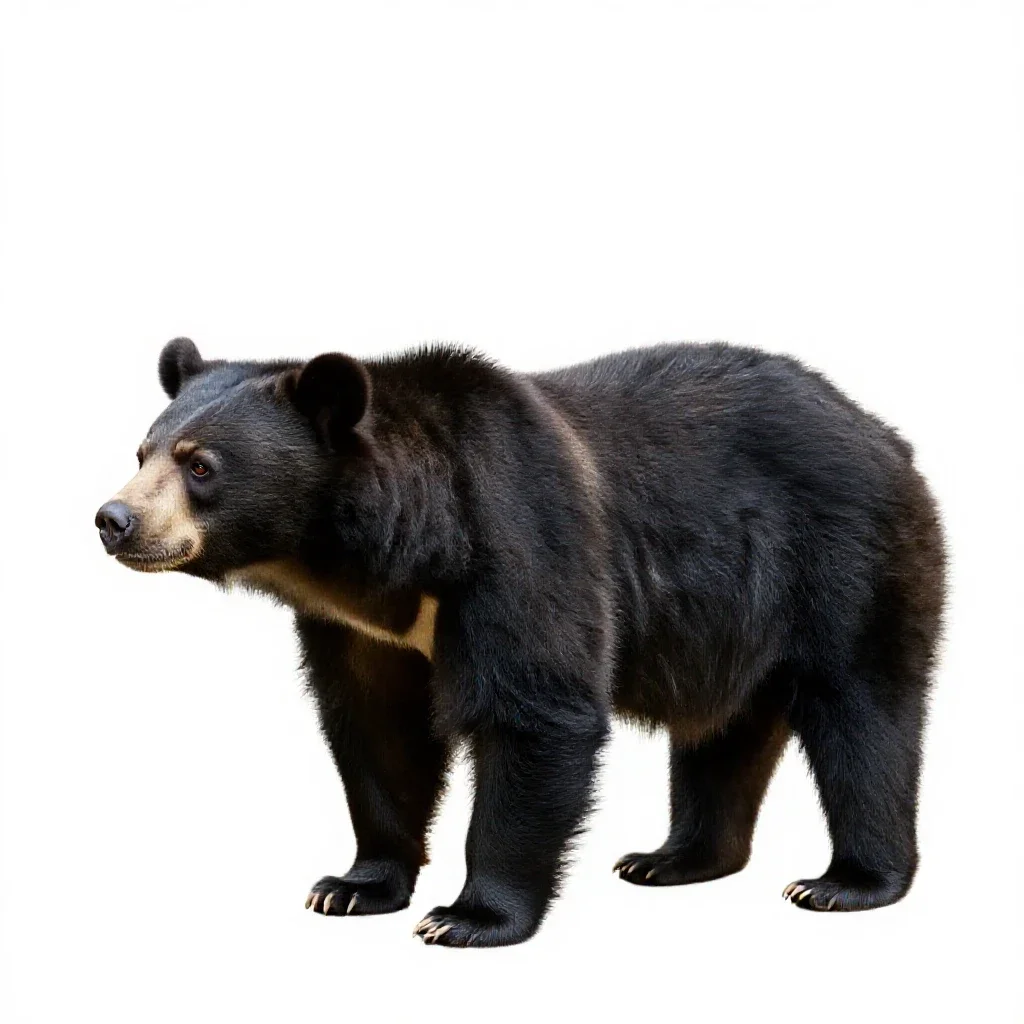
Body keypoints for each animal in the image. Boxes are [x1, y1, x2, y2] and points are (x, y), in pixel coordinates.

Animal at [95, 336, 946, 947]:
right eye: (141, 452)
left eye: (200, 464)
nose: (113, 519)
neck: (380, 558)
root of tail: (886, 433)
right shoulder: (361, 627)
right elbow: (376, 731)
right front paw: (351, 887)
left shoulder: (517, 540)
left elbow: (535, 713)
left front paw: (468, 917)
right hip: (733, 620)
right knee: (723, 730)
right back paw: (673, 858)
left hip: (846, 560)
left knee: (863, 714)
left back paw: (846, 882)